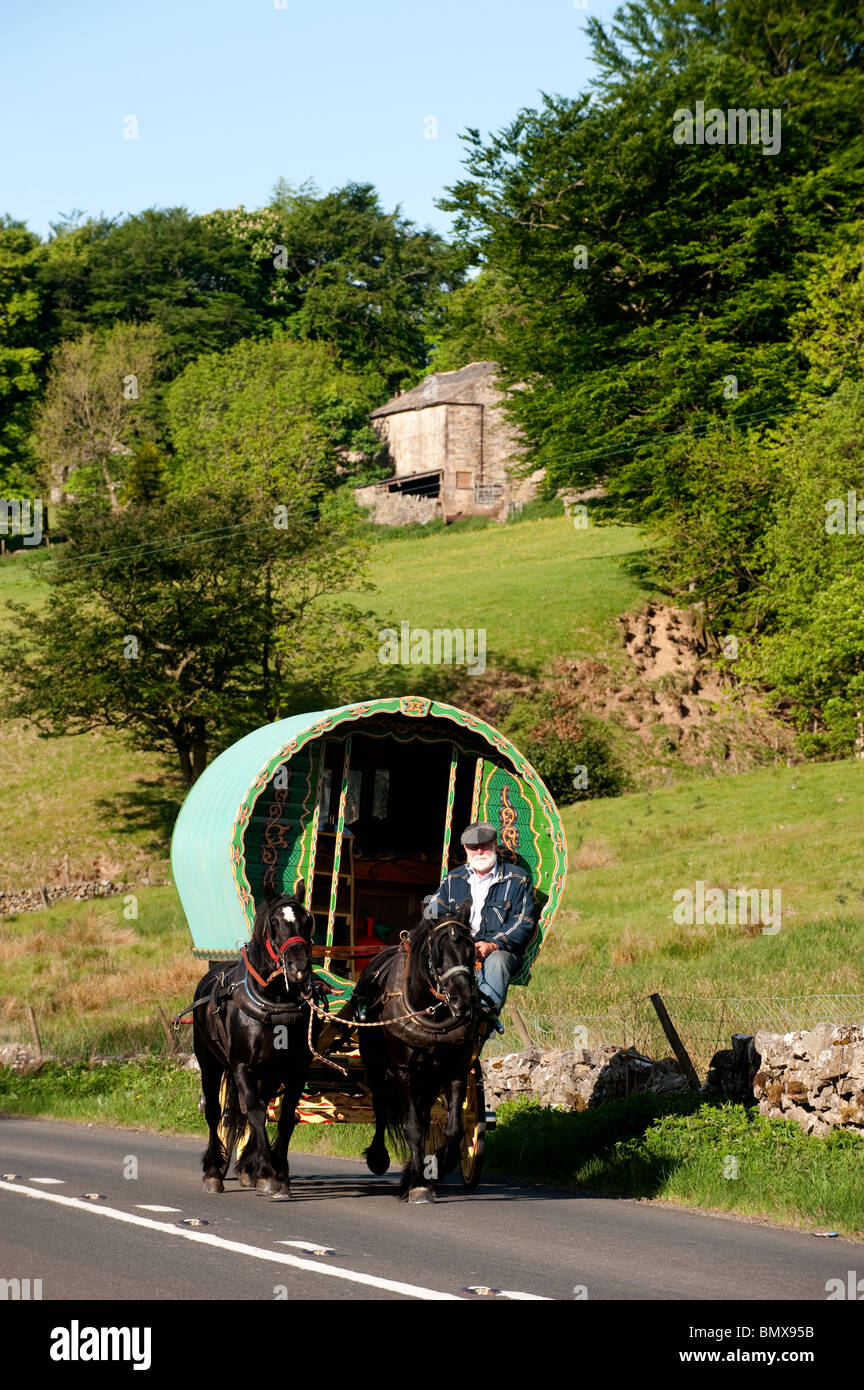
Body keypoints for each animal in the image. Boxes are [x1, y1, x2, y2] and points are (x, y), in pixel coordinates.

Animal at [192, 880, 317, 1199]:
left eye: (307, 920)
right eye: (274, 923)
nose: (299, 966)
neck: (274, 1001)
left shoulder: (295, 1069)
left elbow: (285, 1117)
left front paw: (276, 1172)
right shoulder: (241, 1066)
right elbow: (258, 1114)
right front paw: (270, 1172)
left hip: (268, 1073)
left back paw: (251, 1165)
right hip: (210, 1063)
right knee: (215, 1113)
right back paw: (214, 1171)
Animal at [351, 899, 483, 1203]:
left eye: (471, 951)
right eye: (437, 955)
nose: (463, 1003)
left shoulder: (456, 1071)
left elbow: (453, 1128)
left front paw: (439, 1165)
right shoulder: (403, 1072)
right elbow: (411, 1126)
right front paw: (417, 1183)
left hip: (430, 1080)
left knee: (424, 1116)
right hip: (376, 1067)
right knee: (382, 1106)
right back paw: (379, 1157)